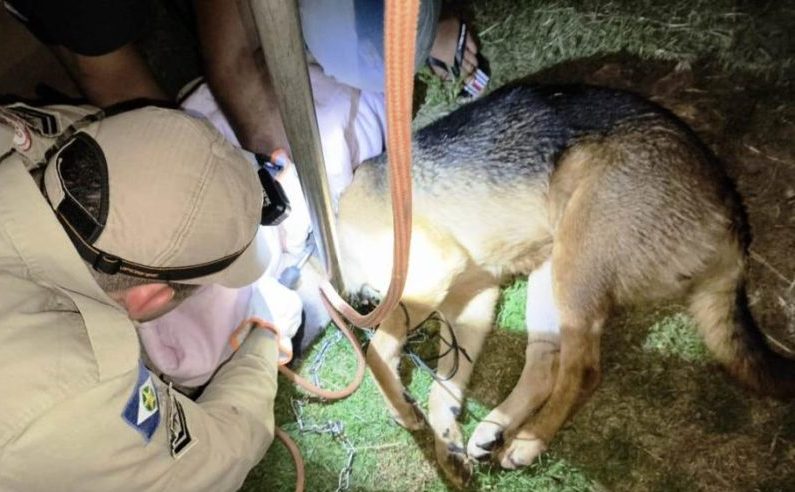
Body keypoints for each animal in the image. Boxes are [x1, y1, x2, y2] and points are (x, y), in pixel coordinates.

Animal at [334, 82, 795, 486]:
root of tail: (733, 218)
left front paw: (402, 408)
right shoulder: (472, 302)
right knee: (545, 366)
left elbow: (376, 353)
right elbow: (439, 391)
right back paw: (497, 427)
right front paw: (447, 444)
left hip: (576, 258)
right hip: (550, 275)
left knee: (583, 369)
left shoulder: (430, 275)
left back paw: (529, 440)